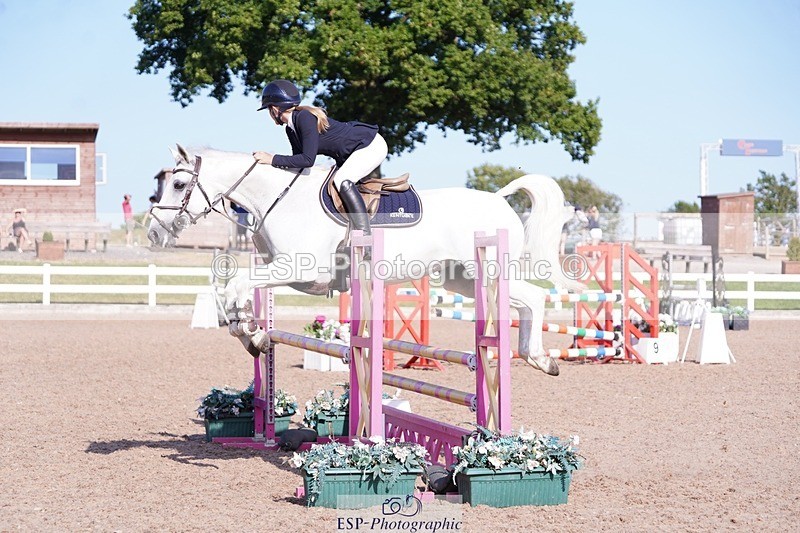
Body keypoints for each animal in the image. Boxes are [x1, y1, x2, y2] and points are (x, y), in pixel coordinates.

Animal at [148, 145, 579, 376]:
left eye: (180, 184)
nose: (153, 232)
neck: (278, 198)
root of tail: (499, 199)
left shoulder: (301, 268)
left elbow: (236, 284)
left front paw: (251, 333)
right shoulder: (296, 276)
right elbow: (234, 289)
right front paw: (250, 333)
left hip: (486, 271)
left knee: (534, 298)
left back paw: (540, 357)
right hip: (462, 279)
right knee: (524, 303)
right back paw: (538, 358)